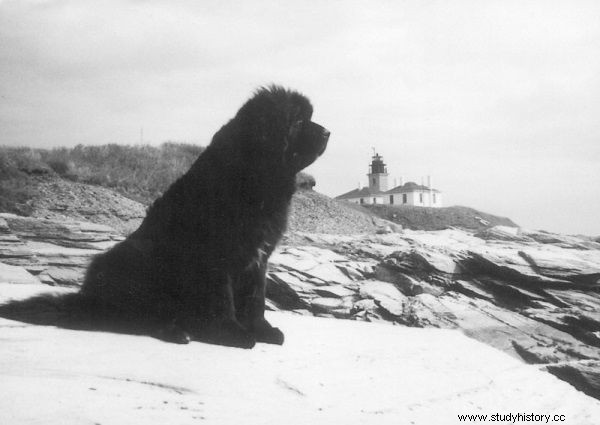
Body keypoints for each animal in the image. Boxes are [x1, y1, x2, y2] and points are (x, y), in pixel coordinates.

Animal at [79, 84, 328, 346]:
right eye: (298, 121)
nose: (328, 132)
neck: (252, 180)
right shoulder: (216, 256)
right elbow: (222, 300)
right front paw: (233, 332)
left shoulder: (259, 257)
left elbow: (255, 298)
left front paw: (262, 330)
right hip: (133, 260)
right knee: (137, 315)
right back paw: (176, 331)